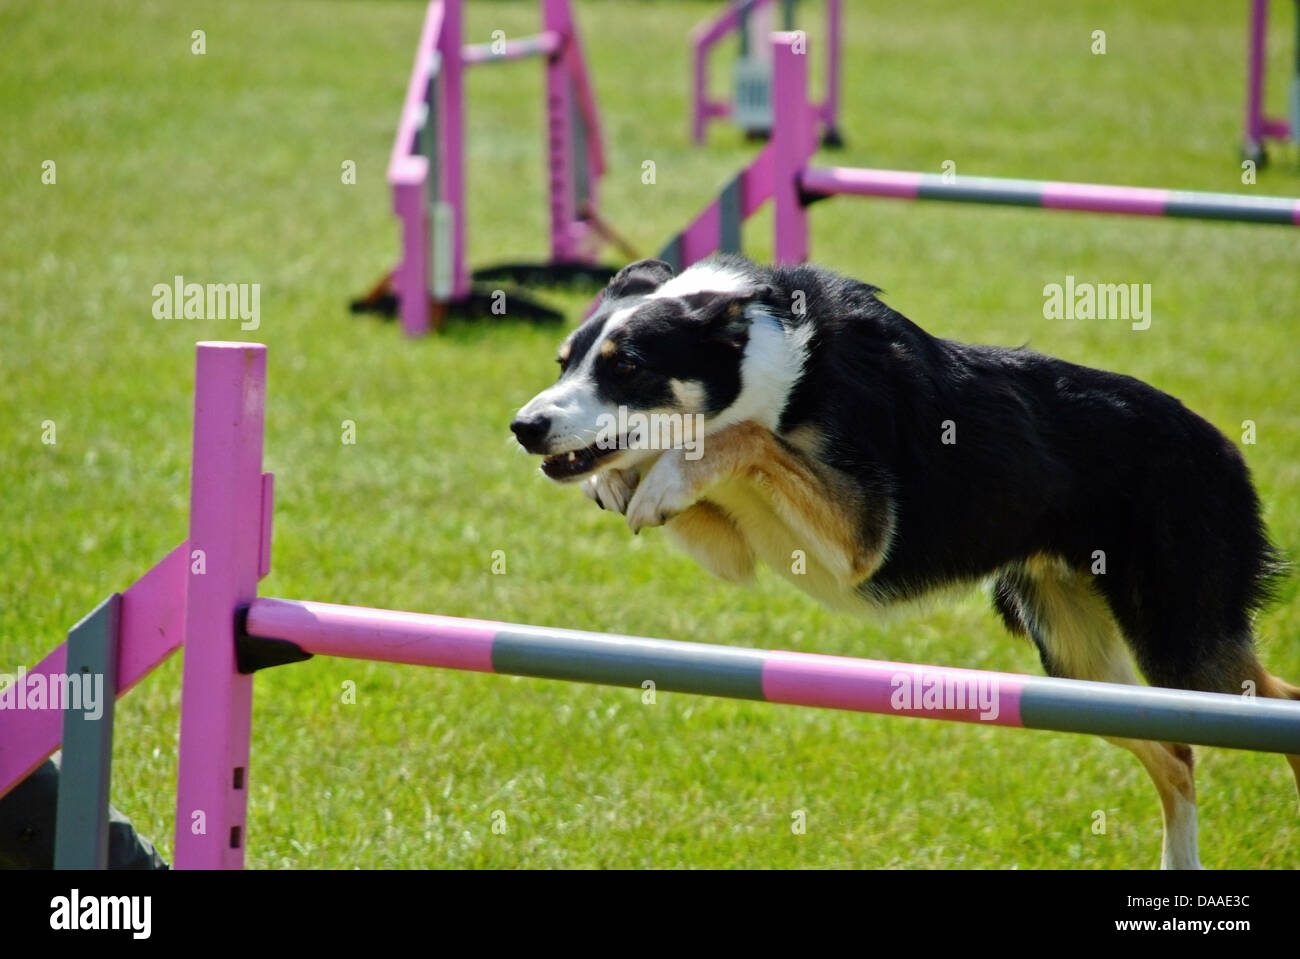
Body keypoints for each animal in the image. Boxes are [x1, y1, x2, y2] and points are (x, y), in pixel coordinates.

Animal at [512, 254, 1294, 868]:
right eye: (564, 362)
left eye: (627, 366)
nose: (526, 427)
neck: (761, 362)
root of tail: (1225, 446)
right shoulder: (738, 547)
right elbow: (691, 472)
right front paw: (620, 481)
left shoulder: (860, 533)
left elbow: (742, 440)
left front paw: (662, 475)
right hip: (1081, 666)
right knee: (1178, 754)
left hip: (1183, 642)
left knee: (1274, 705)